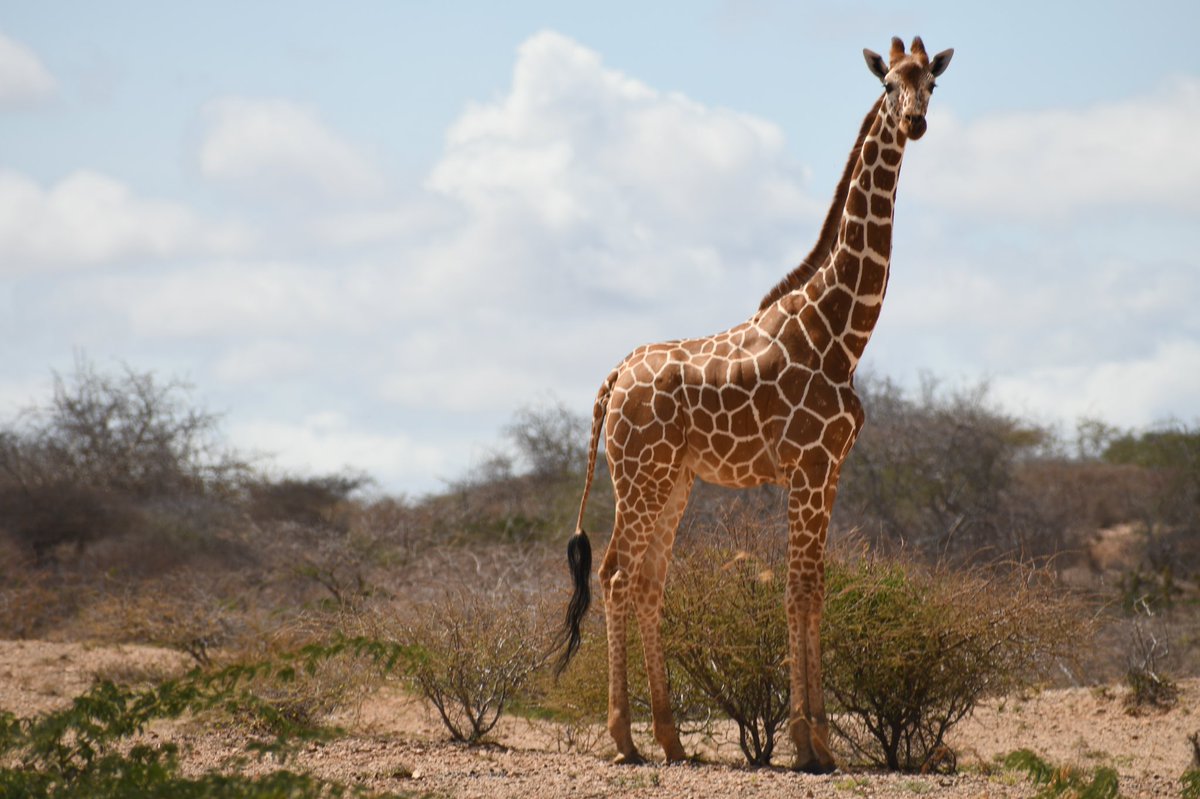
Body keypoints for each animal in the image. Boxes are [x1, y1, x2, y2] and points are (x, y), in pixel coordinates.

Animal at [556, 36, 953, 773]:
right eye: (888, 83)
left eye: (931, 85)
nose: (915, 123)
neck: (842, 331)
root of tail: (614, 378)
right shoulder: (807, 467)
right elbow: (798, 588)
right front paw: (809, 742)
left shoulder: (829, 470)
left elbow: (816, 588)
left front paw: (817, 740)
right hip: (641, 476)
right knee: (618, 574)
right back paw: (624, 738)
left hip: (675, 480)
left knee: (648, 580)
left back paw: (671, 737)